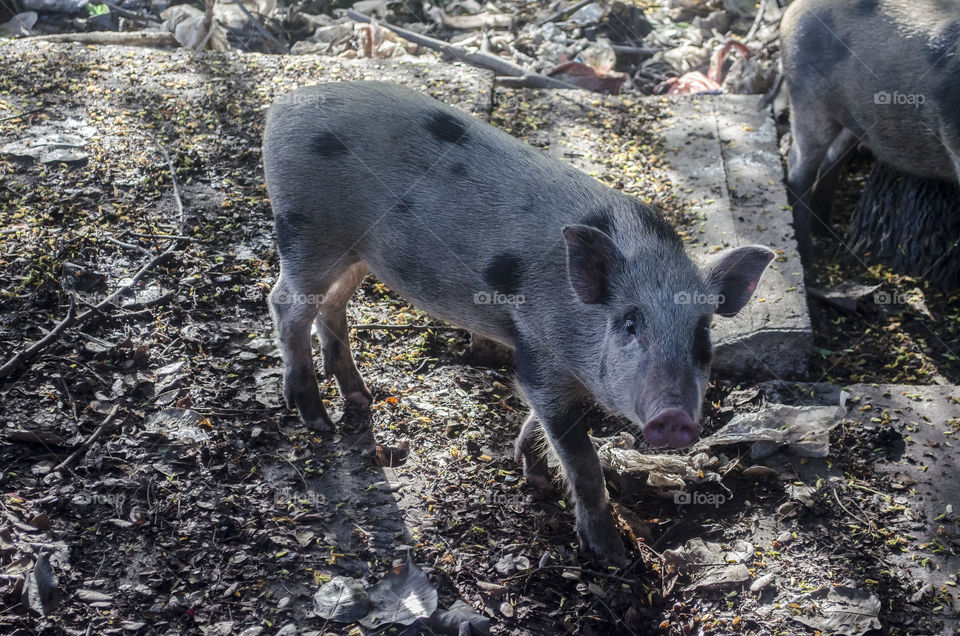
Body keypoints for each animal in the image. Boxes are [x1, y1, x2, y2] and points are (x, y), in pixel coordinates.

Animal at [262, 81, 774, 560]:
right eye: (630, 324)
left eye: (702, 334)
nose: (674, 418)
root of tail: (284, 105)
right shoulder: (539, 357)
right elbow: (581, 459)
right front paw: (608, 553)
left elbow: (538, 423)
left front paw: (534, 474)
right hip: (306, 231)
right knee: (285, 302)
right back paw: (318, 421)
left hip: (357, 253)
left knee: (333, 304)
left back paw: (360, 397)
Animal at [780, 0, 960, 259]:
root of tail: (792, 10)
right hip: (807, 99)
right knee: (799, 166)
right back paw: (808, 256)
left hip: (852, 120)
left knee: (831, 159)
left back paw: (831, 235)